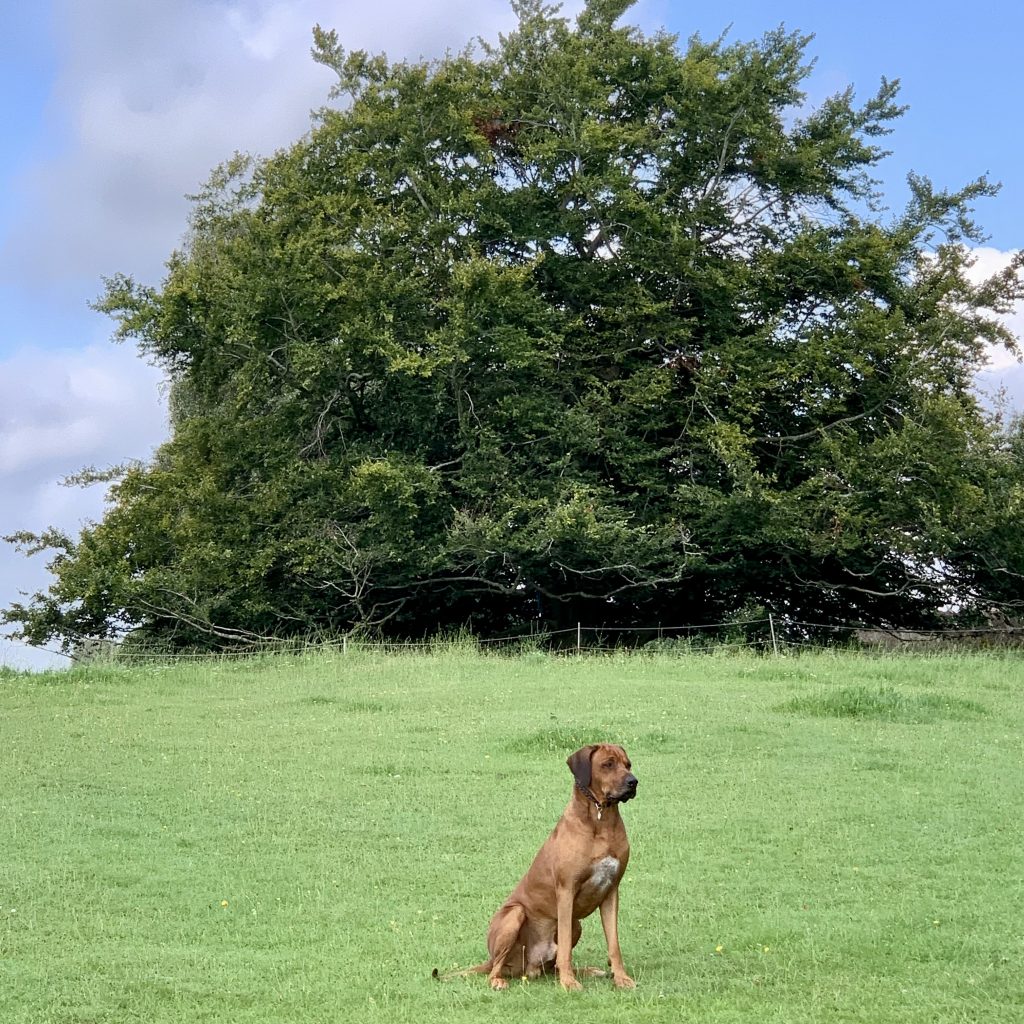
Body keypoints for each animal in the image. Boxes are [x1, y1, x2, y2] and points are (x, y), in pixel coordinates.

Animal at [442, 745, 638, 991]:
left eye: (628, 764)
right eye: (608, 764)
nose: (633, 782)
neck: (601, 820)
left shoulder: (611, 892)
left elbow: (614, 944)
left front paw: (621, 977)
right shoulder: (566, 891)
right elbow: (565, 949)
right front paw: (569, 983)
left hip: (576, 924)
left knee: (552, 966)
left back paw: (588, 971)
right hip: (515, 914)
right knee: (497, 968)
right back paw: (499, 980)